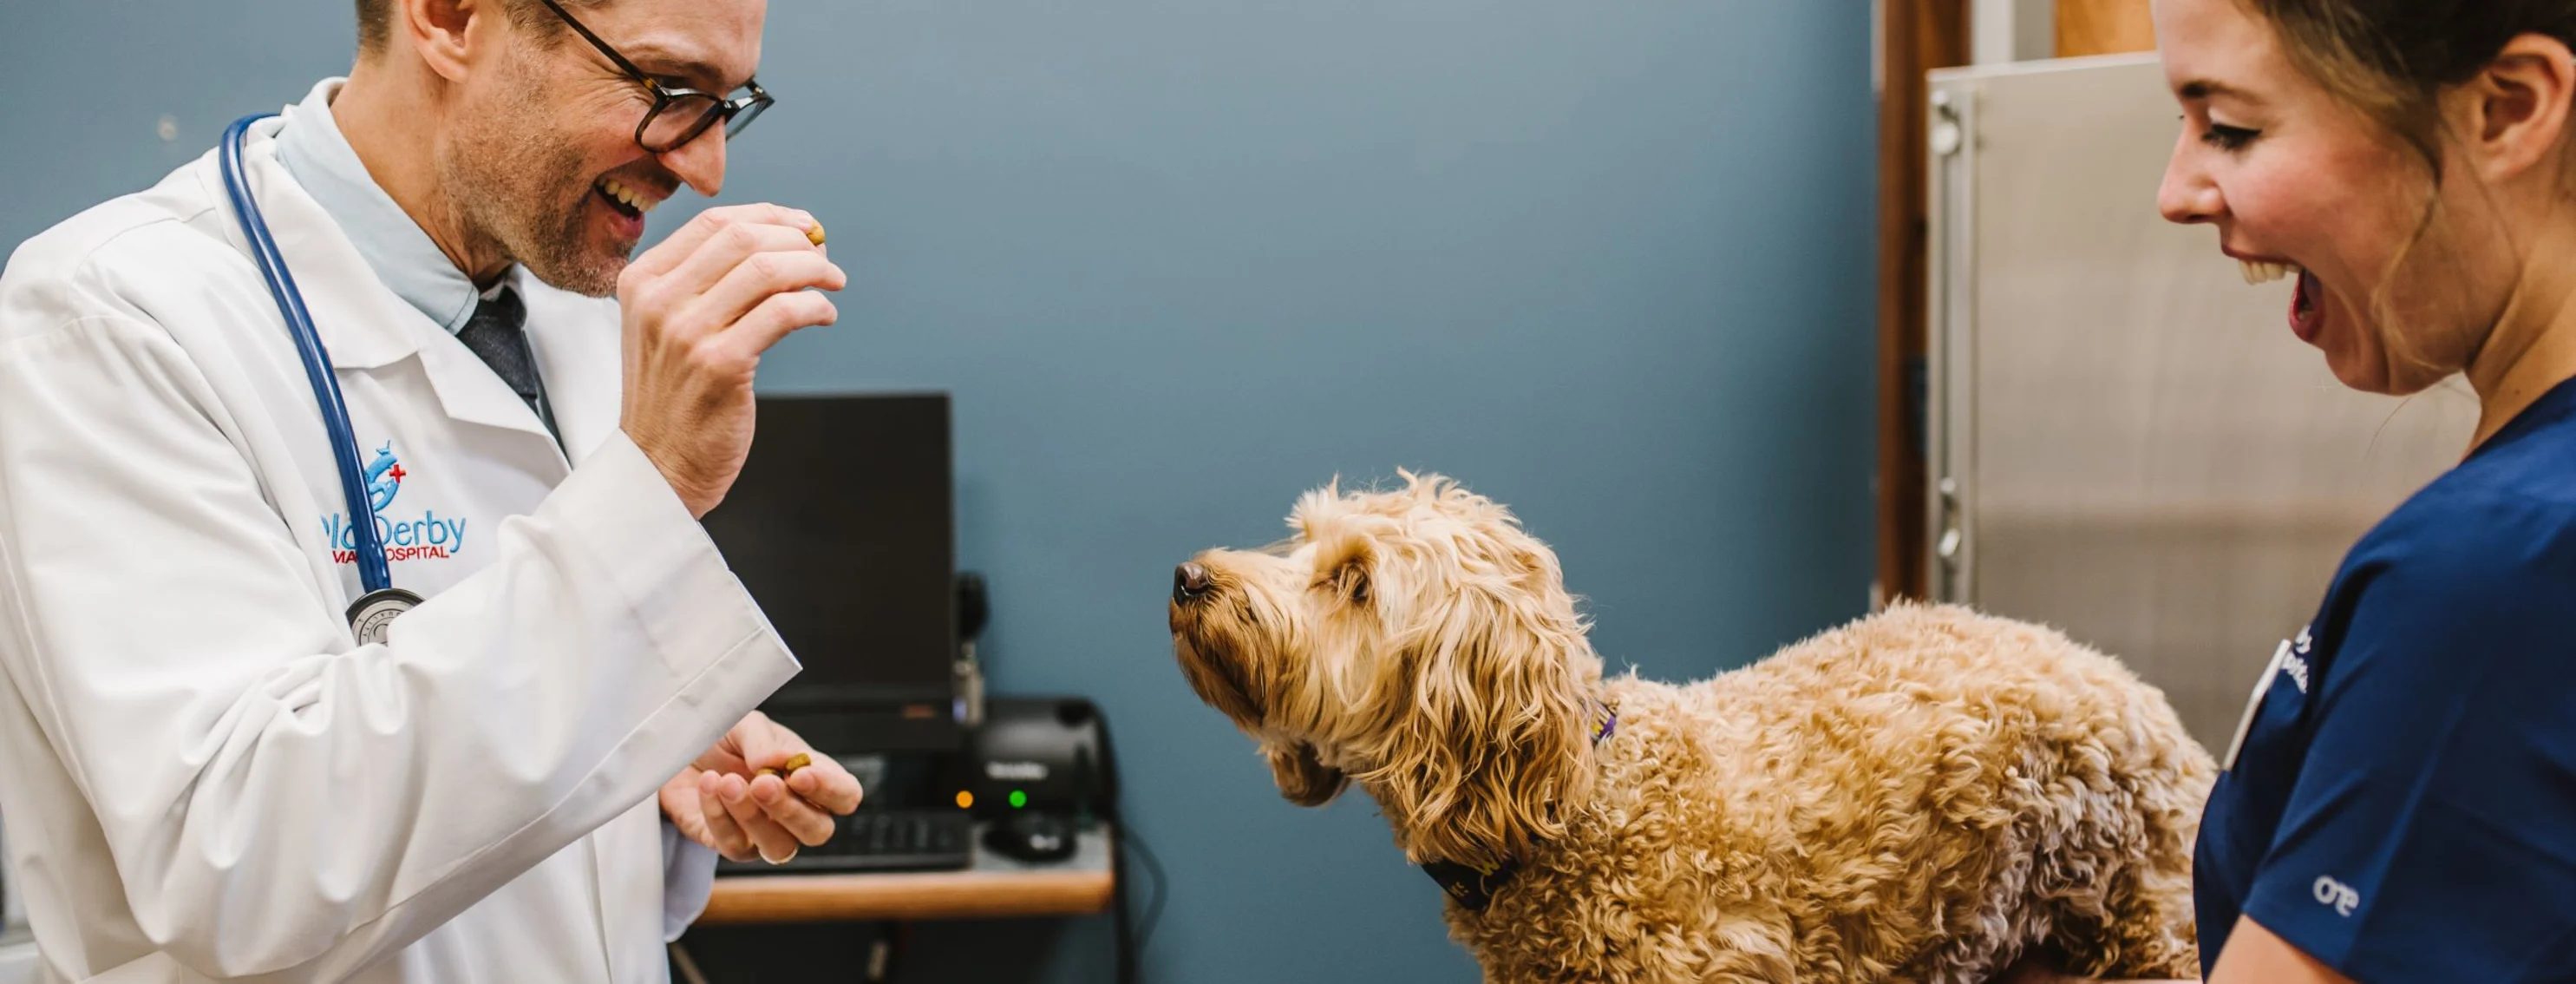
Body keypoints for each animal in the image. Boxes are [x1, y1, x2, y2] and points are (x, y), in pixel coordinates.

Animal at [1169, 474, 2215, 979]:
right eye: (1301, 541)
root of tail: (2141, 694)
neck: (1577, 802)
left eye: (1353, 582)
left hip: (2153, 924)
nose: (1188, 577)